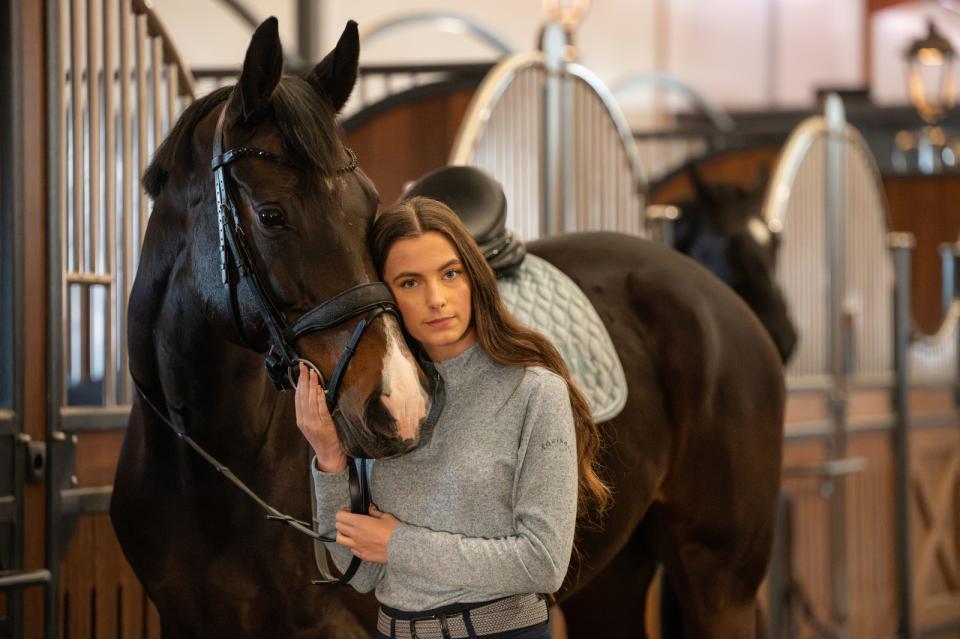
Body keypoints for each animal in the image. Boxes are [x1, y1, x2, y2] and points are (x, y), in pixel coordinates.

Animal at [112, 16, 784, 639]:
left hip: (718, 581)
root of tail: (721, 303)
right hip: (615, 577)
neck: (212, 460)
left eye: (370, 208)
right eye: (272, 215)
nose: (399, 404)